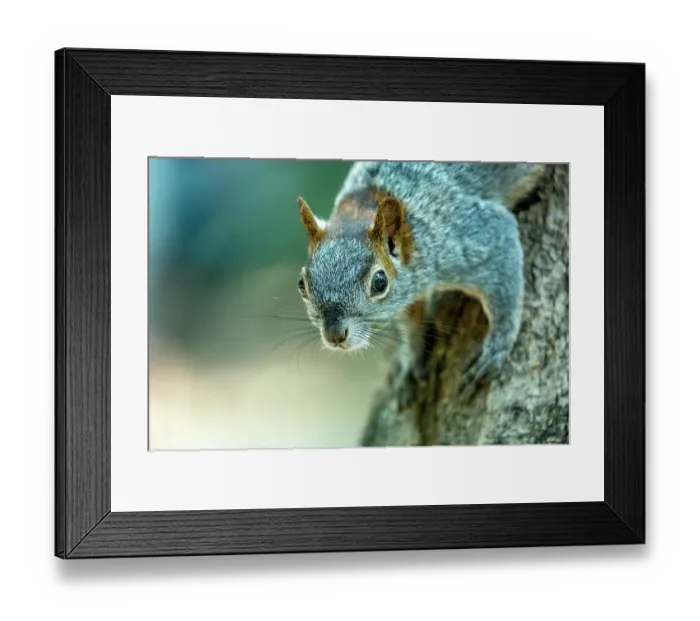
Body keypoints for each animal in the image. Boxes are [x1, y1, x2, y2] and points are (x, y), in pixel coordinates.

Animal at [296, 161, 545, 382]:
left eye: (380, 282)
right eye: (302, 285)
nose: (335, 335)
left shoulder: (472, 239)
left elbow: (504, 285)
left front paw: (497, 346)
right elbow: (411, 321)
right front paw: (410, 358)